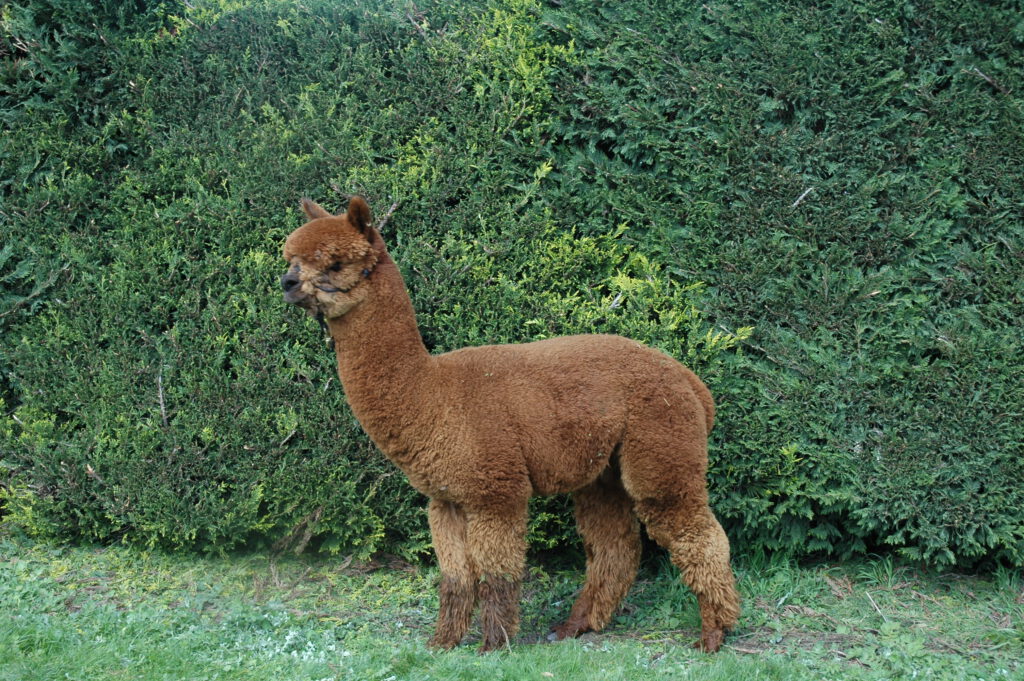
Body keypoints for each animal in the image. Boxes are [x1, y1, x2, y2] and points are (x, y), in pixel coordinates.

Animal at [280, 196, 740, 652]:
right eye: (292, 259)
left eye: (335, 263)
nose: (287, 282)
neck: (434, 394)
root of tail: (690, 381)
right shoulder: (445, 499)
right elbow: (454, 577)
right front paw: (442, 643)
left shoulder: (495, 491)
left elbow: (498, 573)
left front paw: (493, 644)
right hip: (603, 471)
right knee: (615, 546)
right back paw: (575, 626)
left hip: (662, 441)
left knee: (696, 533)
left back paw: (713, 633)